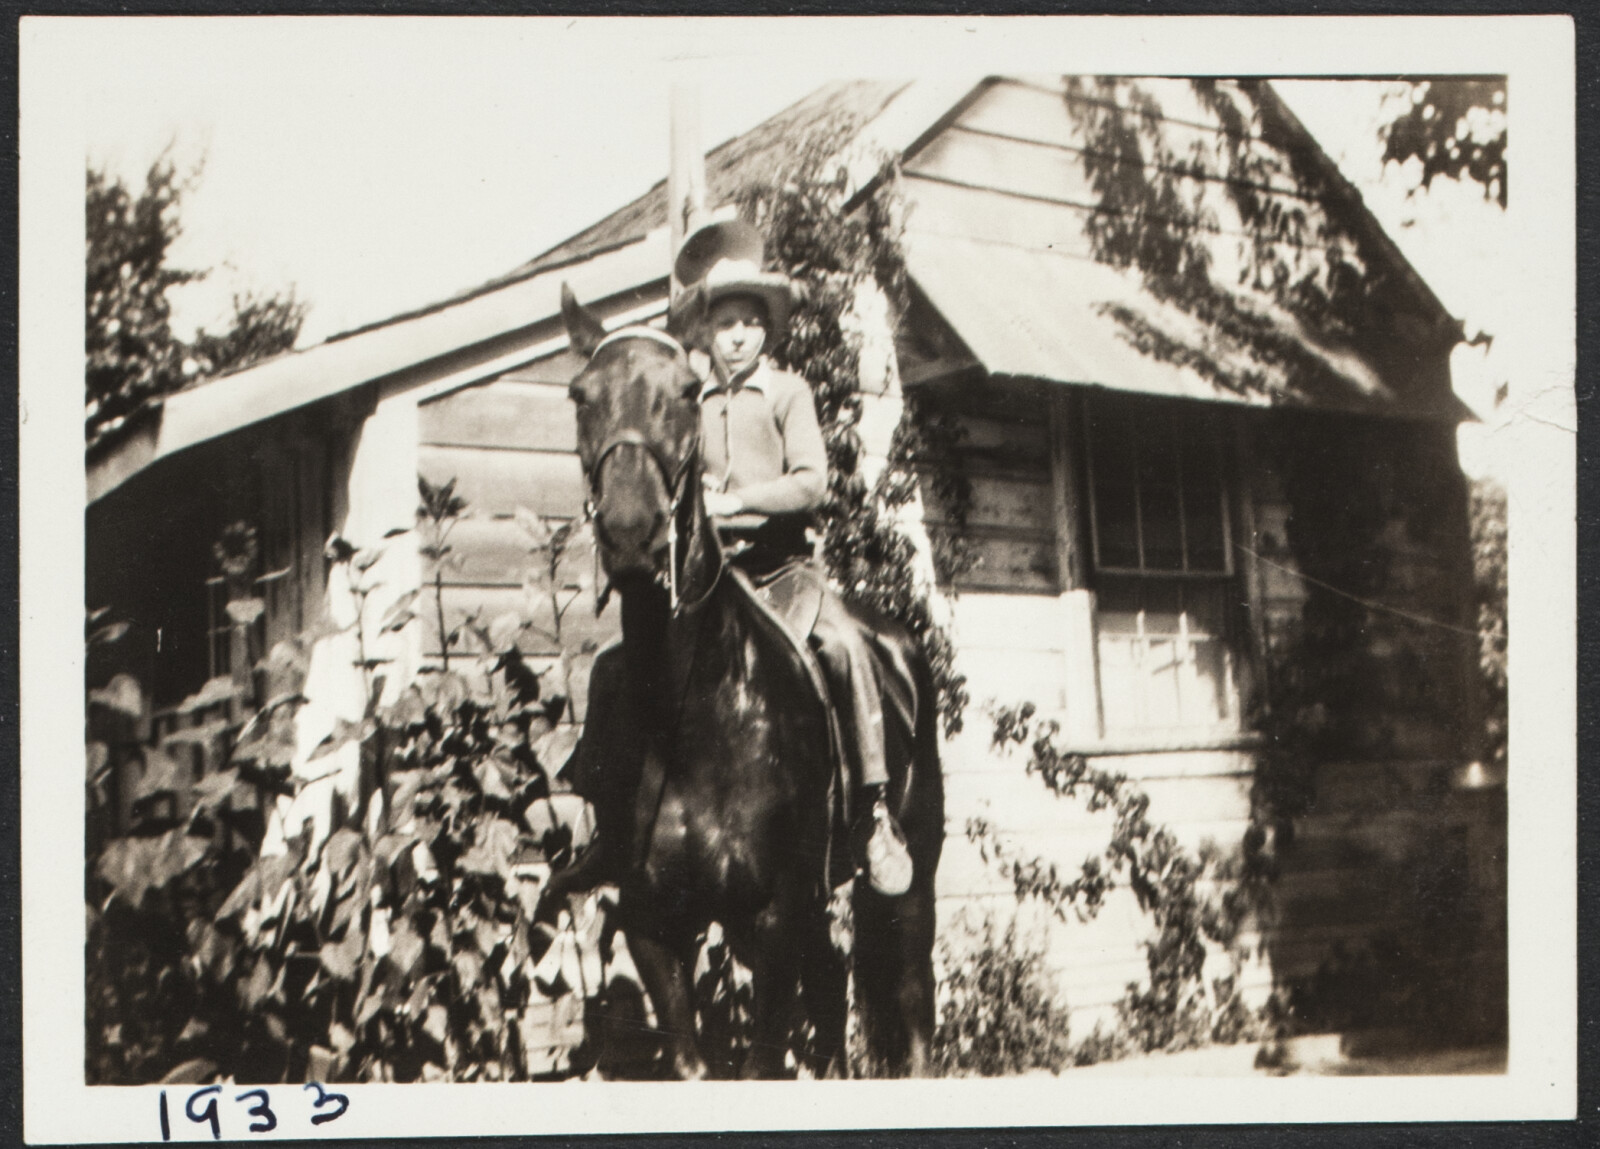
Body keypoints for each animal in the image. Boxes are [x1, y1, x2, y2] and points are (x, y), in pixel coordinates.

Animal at [547, 288, 947, 1081]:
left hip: (911, 878)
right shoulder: (655, 926)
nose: (632, 534)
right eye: (580, 394)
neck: (694, 714)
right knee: (832, 998)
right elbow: (694, 1061)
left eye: (685, 392)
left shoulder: (773, 916)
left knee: (913, 1002)